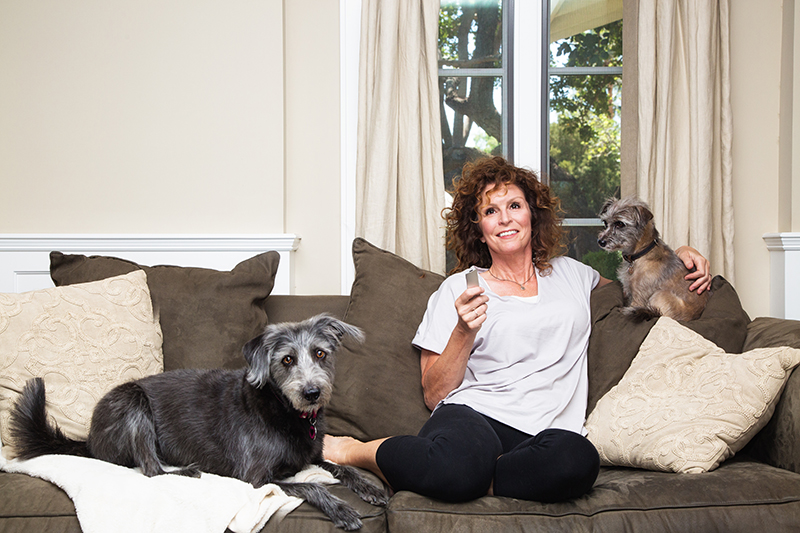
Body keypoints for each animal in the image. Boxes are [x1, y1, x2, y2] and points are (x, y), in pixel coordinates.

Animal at [9, 312, 390, 528]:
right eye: (286, 360)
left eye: (320, 354)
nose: (312, 393)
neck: (284, 411)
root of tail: (88, 436)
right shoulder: (256, 478)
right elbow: (312, 485)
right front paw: (341, 509)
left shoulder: (310, 456)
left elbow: (342, 467)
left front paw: (371, 488)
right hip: (133, 404)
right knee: (150, 469)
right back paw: (185, 470)